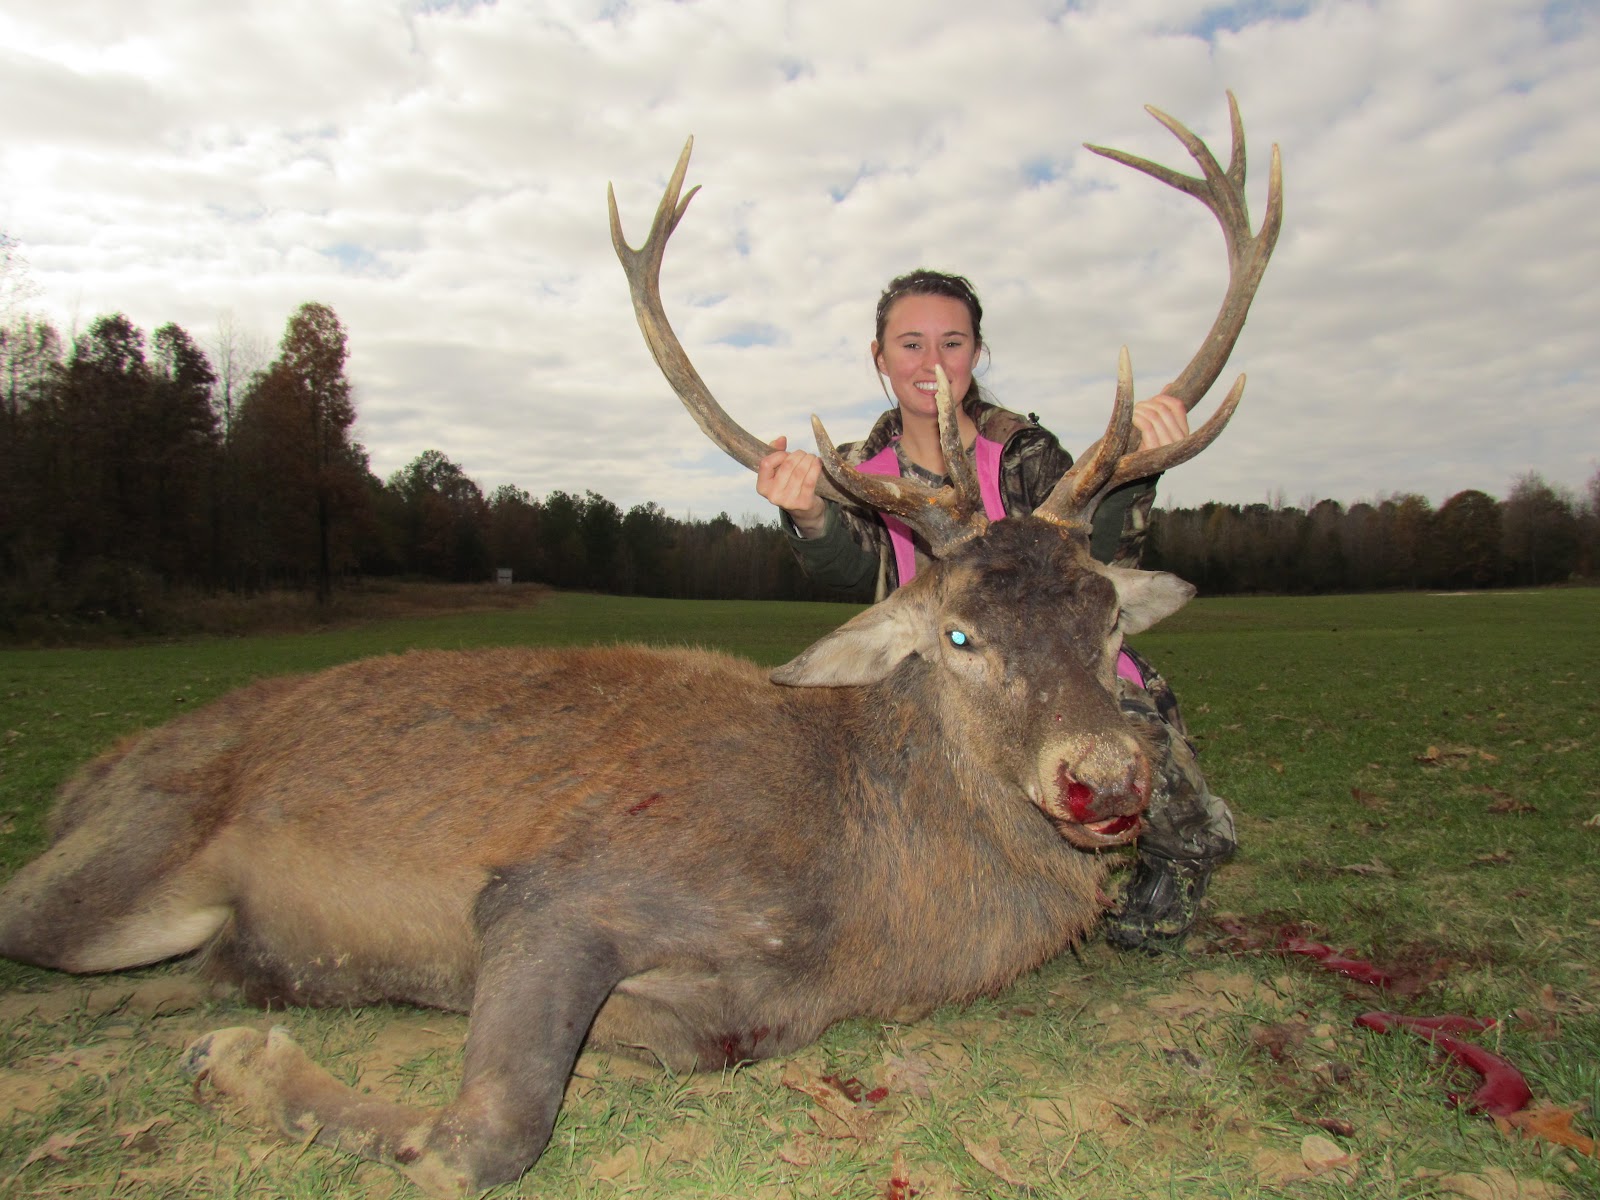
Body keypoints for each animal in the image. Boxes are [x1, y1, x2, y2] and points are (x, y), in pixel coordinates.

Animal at [0, 95, 1280, 1196]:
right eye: (958, 631)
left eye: (1106, 617)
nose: (1106, 778)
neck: (860, 911)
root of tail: (88, 778)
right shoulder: (558, 888)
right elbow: (481, 1137)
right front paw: (241, 1058)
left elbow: (688, 1043)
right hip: (127, 860)